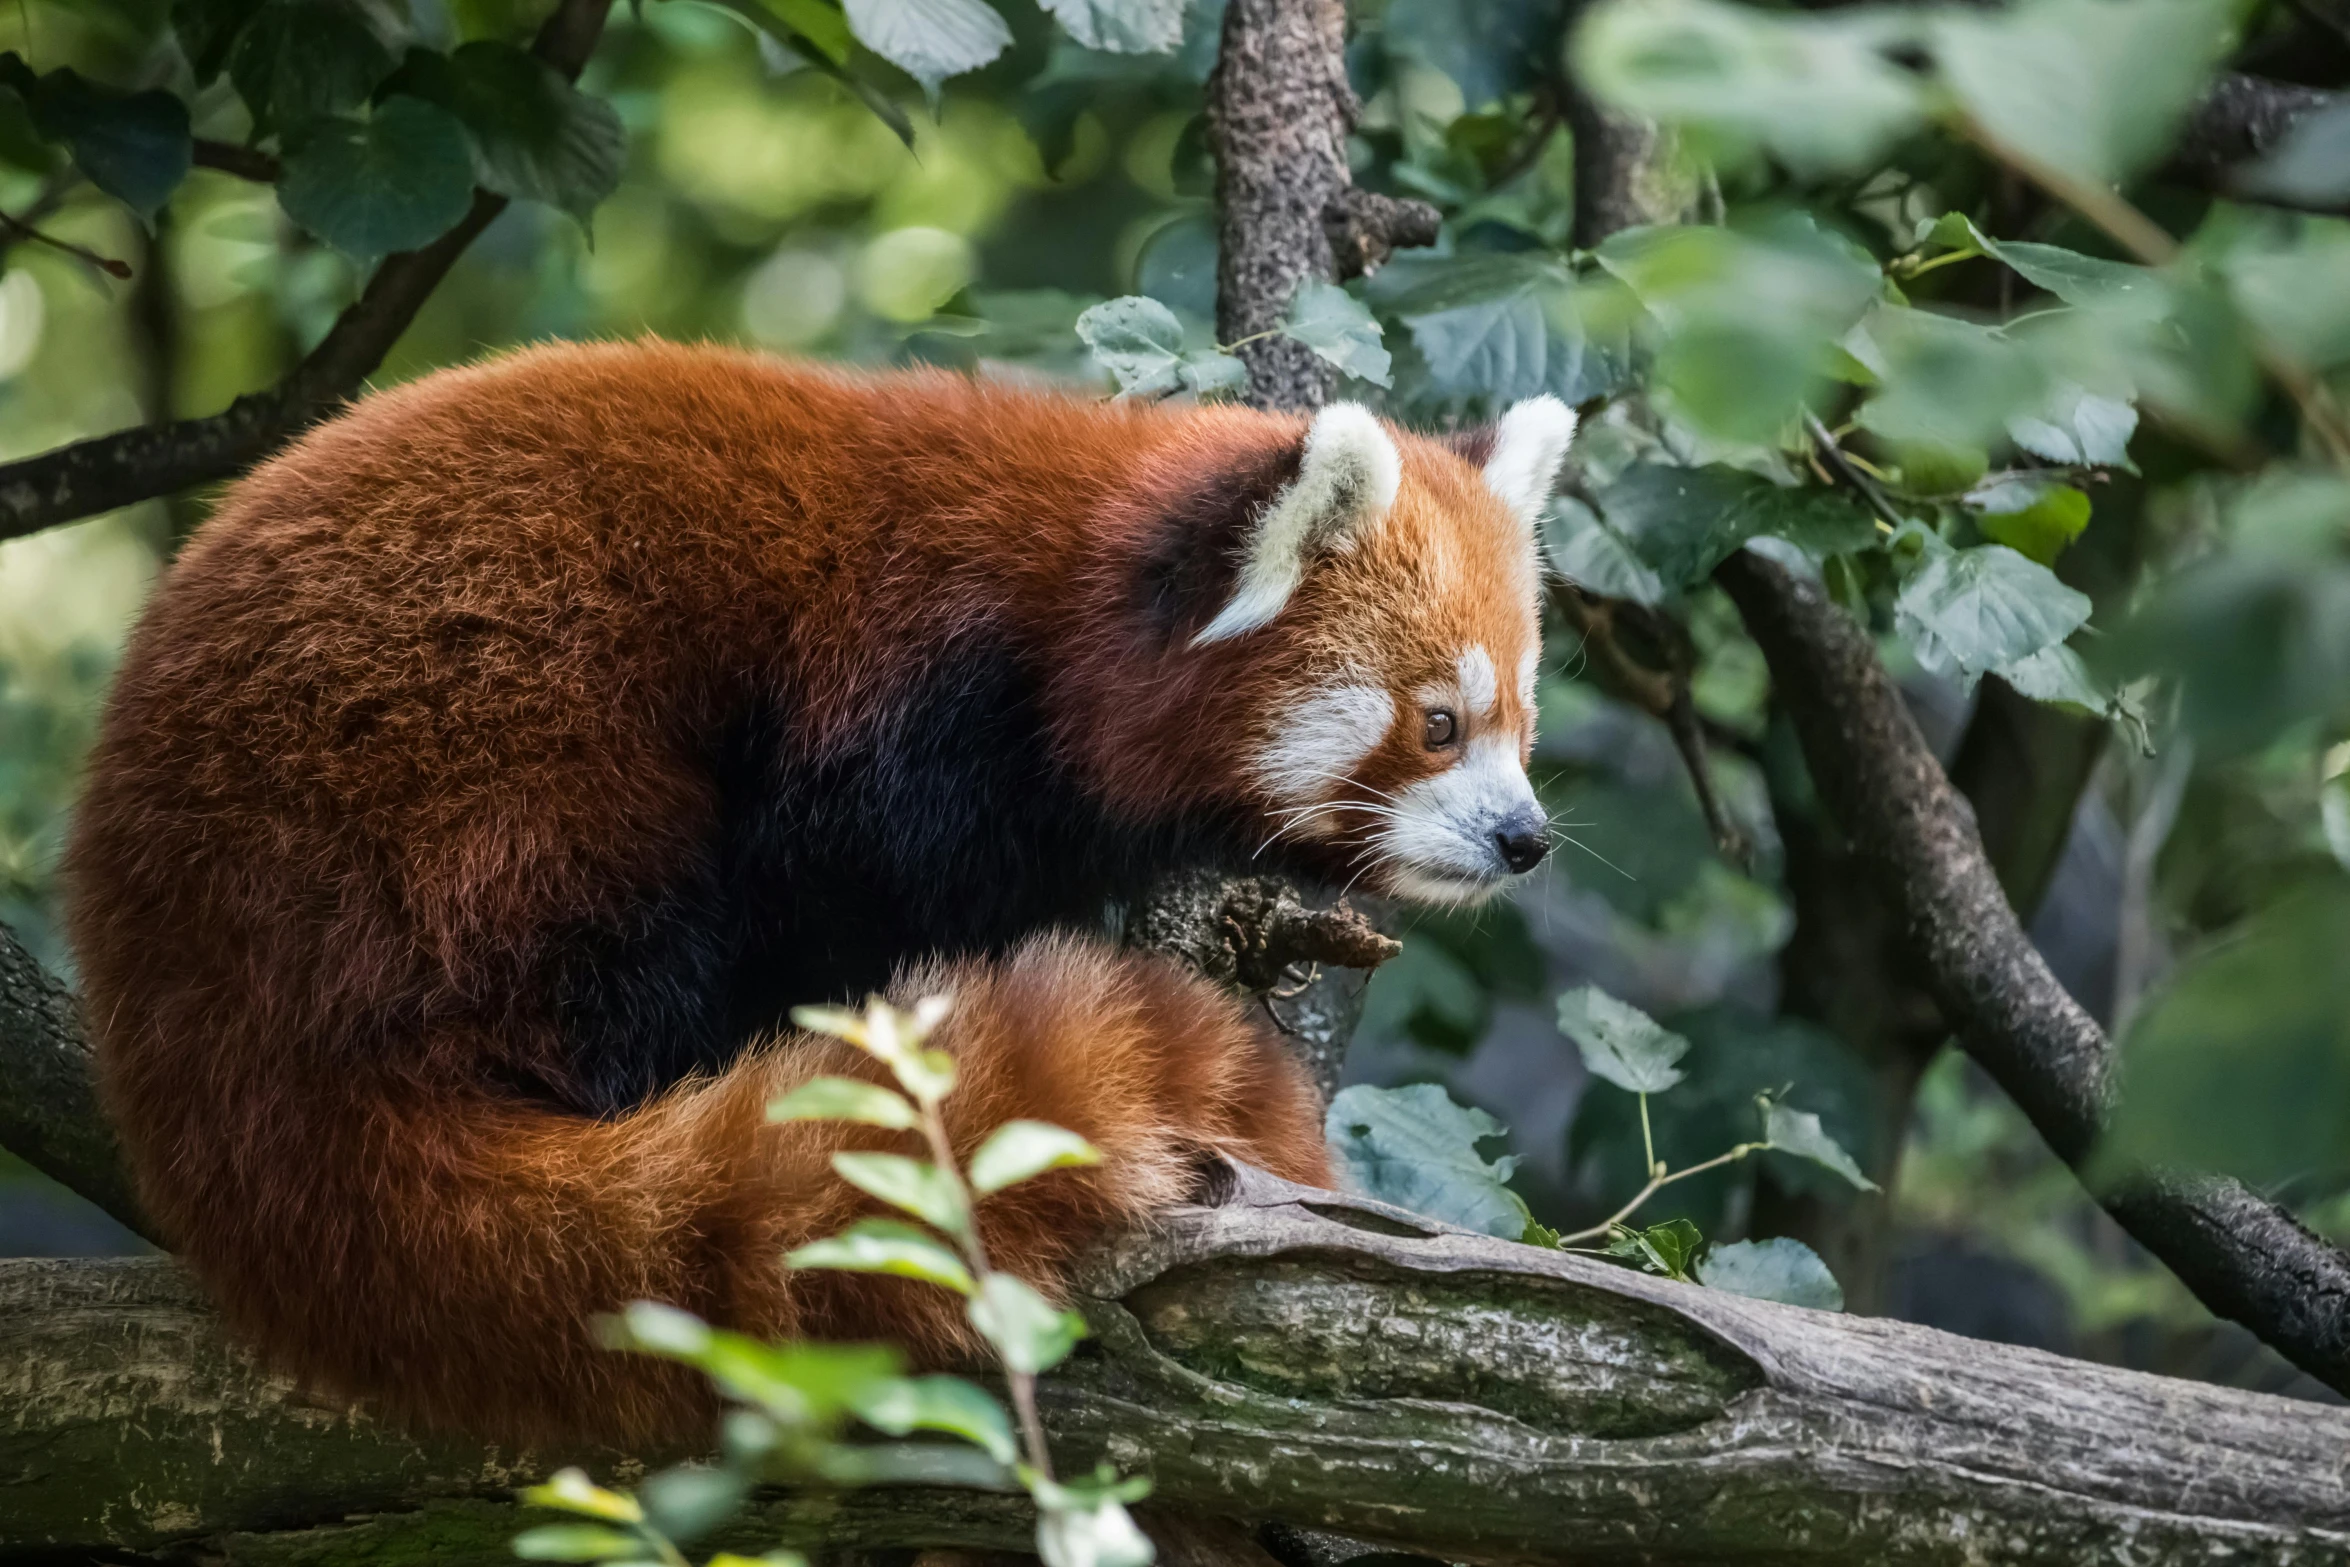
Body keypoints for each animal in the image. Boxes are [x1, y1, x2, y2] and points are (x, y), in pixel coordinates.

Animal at [64, 340, 1579, 1447]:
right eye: (1437, 722)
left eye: (1524, 719)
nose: (1525, 838)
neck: (1058, 621)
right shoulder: (892, 724)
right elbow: (835, 900)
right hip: (472, 785)